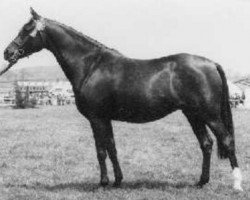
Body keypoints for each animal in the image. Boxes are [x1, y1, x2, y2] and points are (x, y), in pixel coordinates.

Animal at [2, 7, 242, 191]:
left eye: (26, 30)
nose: (7, 53)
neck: (91, 66)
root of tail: (211, 64)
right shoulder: (105, 119)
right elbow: (112, 148)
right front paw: (117, 181)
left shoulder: (97, 118)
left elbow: (100, 151)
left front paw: (103, 183)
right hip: (193, 114)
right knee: (206, 144)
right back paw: (201, 182)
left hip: (210, 115)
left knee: (226, 140)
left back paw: (237, 185)